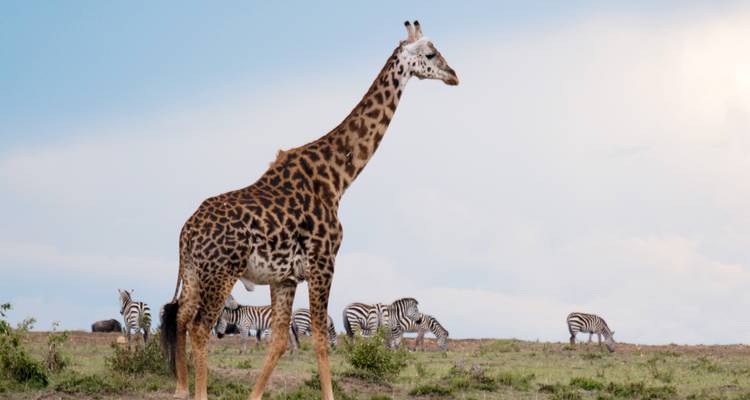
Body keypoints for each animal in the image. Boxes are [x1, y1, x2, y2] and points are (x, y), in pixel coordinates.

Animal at [160, 20, 458, 400]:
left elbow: (279, 342)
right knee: (199, 327)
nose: (454, 75)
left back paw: (180, 389)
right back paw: (198, 392)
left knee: (179, 319)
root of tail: (185, 232)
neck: (337, 179)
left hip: (195, 273)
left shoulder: (284, 277)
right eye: (431, 54)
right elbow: (319, 338)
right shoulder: (323, 262)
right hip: (221, 272)